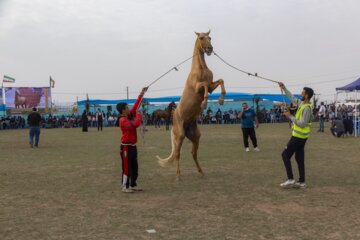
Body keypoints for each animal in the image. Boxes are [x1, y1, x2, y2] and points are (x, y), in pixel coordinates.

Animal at [157, 31, 225, 179]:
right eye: (201, 38)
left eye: (210, 37)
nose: (210, 49)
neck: (200, 69)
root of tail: (174, 120)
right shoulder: (198, 87)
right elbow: (204, 85)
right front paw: (204, 103)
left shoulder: (212, 86)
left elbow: (220, 81)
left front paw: (221, 100)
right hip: (180, 136)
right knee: (177, 154)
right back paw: (178, 175)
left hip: (195, 136)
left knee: (193, 154)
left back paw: (201, 172)